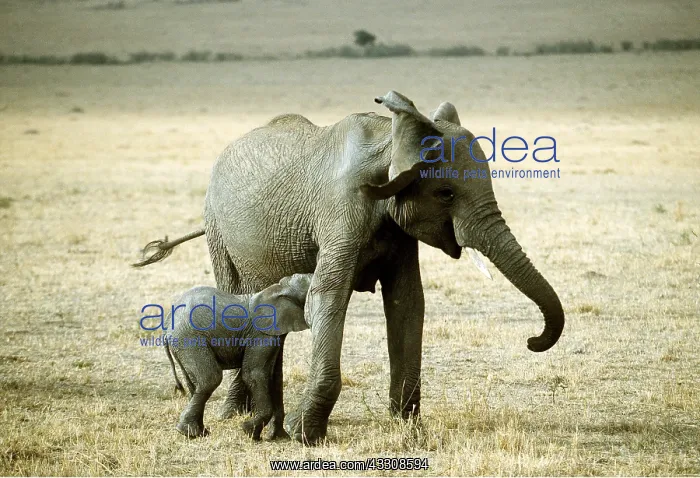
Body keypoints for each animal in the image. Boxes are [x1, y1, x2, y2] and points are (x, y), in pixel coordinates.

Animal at [164, 273, 312, 440]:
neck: (279, 289)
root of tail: (167, 326)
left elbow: (274, 376)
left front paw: (278, 437)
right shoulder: (260, 334)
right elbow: (255, 374)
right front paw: (249, 432)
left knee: (194, 384)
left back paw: (197, 432)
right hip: (190, 339)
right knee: (210, 379)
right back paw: (188, 432)